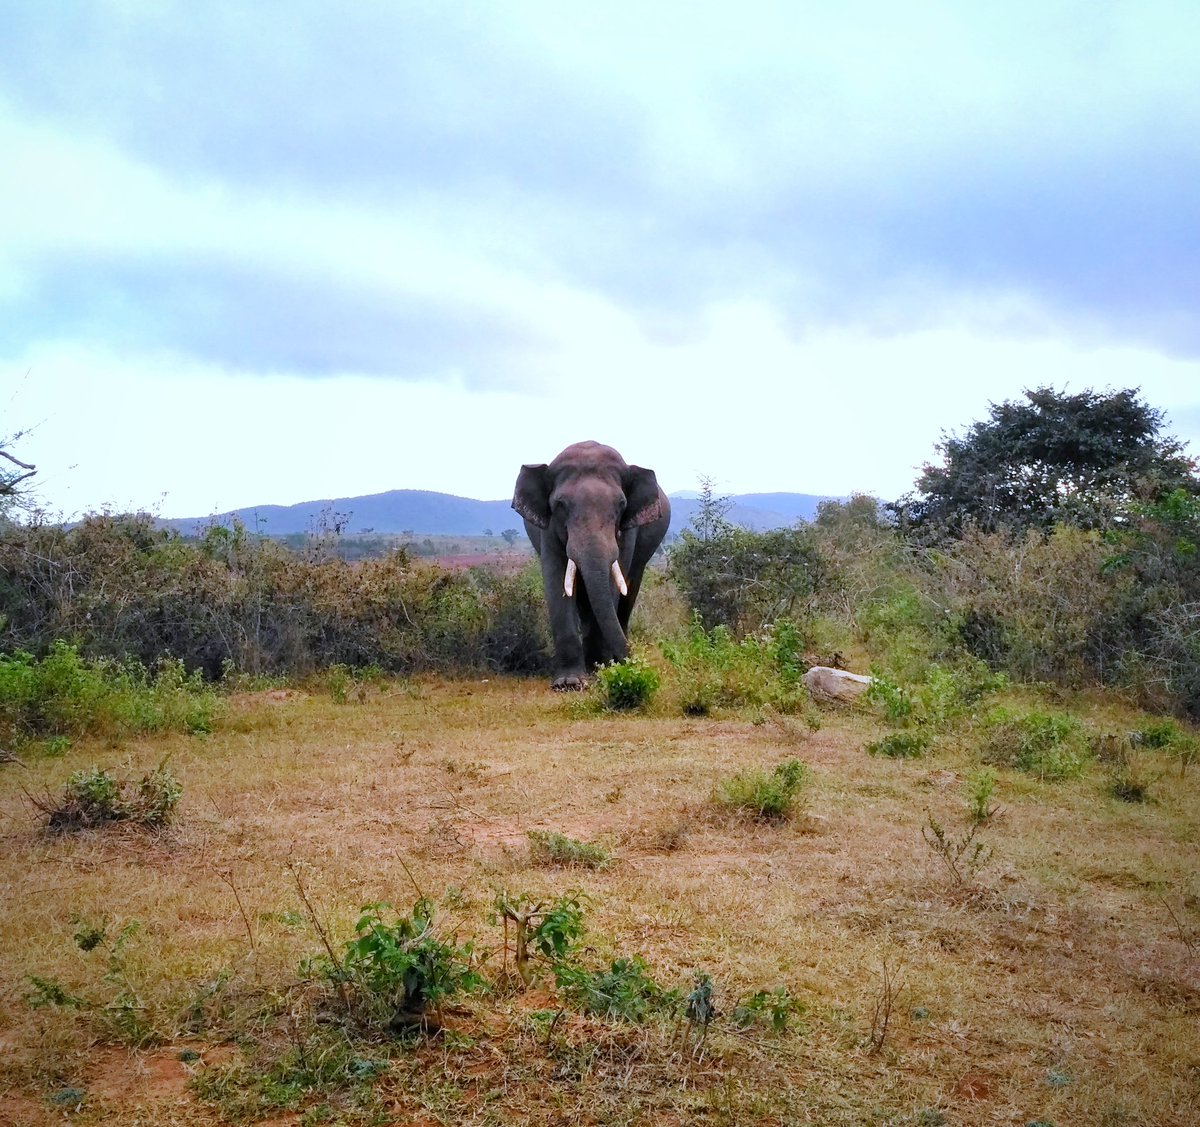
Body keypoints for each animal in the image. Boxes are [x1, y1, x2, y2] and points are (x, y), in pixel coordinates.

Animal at [513, 441, 671, 690]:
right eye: (560, 504)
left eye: (621, 504)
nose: (638, 666)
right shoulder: (548, 528)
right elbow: (557, 580)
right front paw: (568, 683)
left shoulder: (627, 531)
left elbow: (614, 582)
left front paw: (600, 669)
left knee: (628, 593)